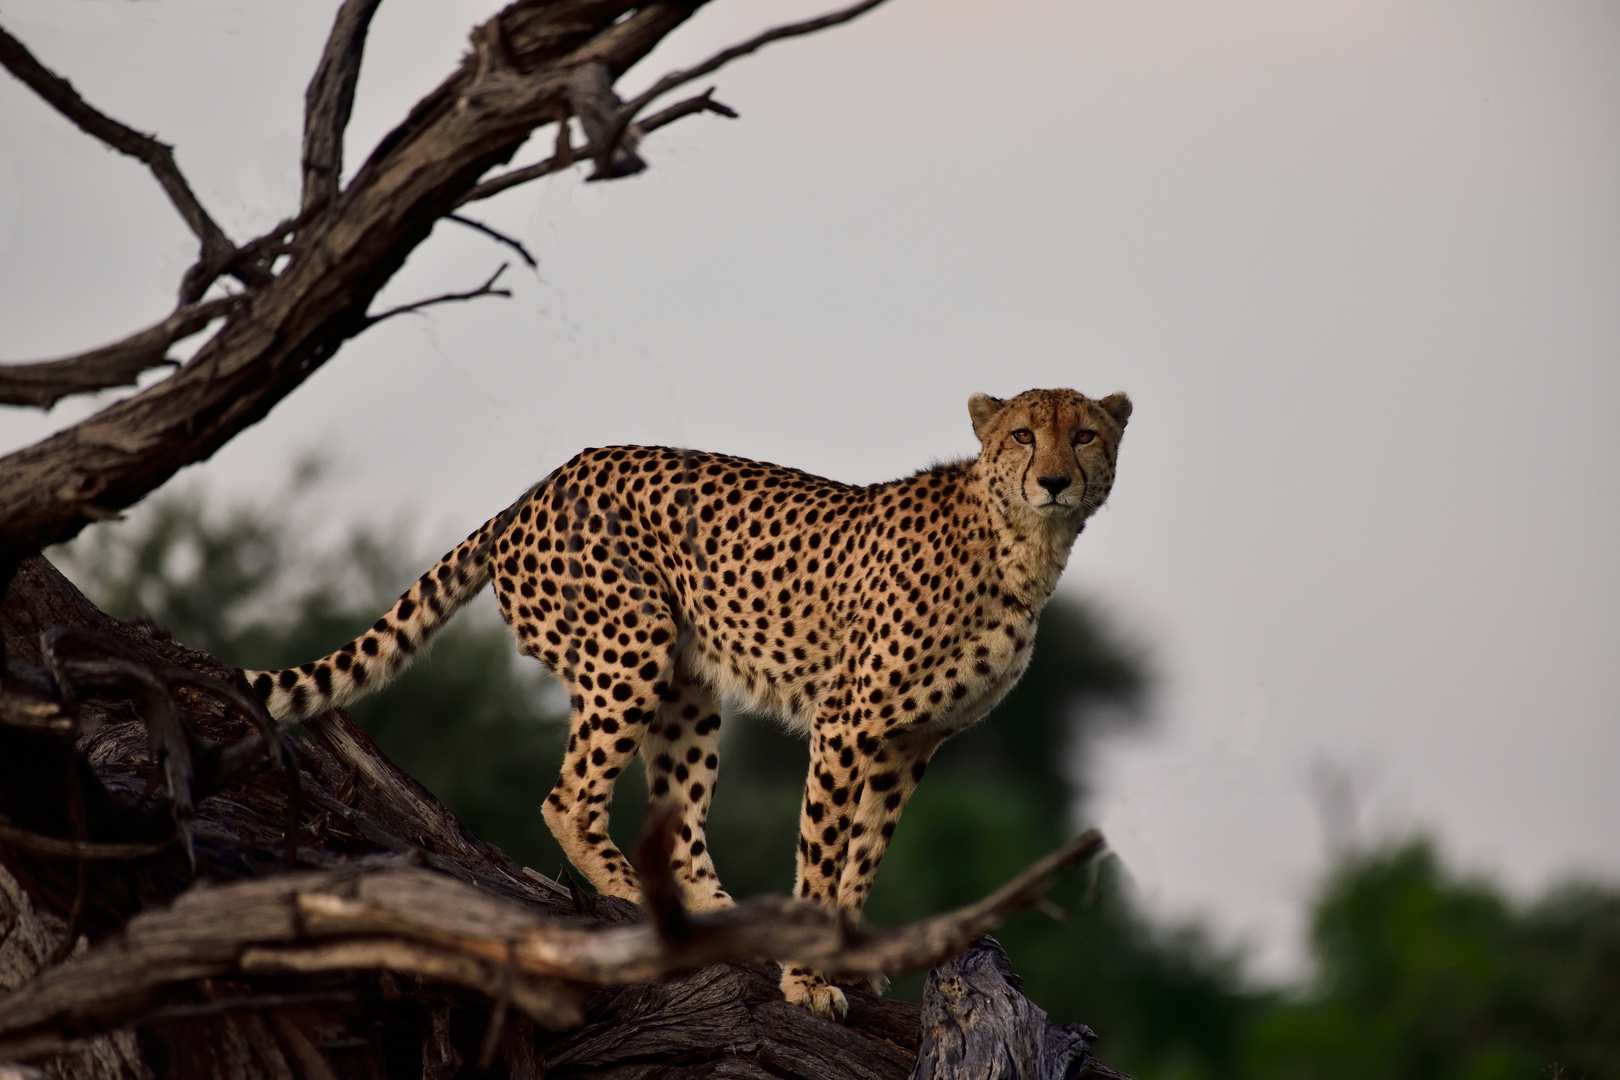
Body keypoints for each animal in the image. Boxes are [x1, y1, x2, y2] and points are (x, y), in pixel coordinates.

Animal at [249, 386, 1127, 1016]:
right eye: (1024, 434)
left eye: (1084, 434)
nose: (1055, 479)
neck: (1020, 546)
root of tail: (541, 486)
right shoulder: (849, 723)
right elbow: (822, 853)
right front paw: (810, 978)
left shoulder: (912, 742)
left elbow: (866, 853)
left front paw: (851, 960)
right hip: (627, 653)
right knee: (569, 796)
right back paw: (634, 897)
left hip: (686, 686)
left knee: (674, 820)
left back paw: (712, 921)